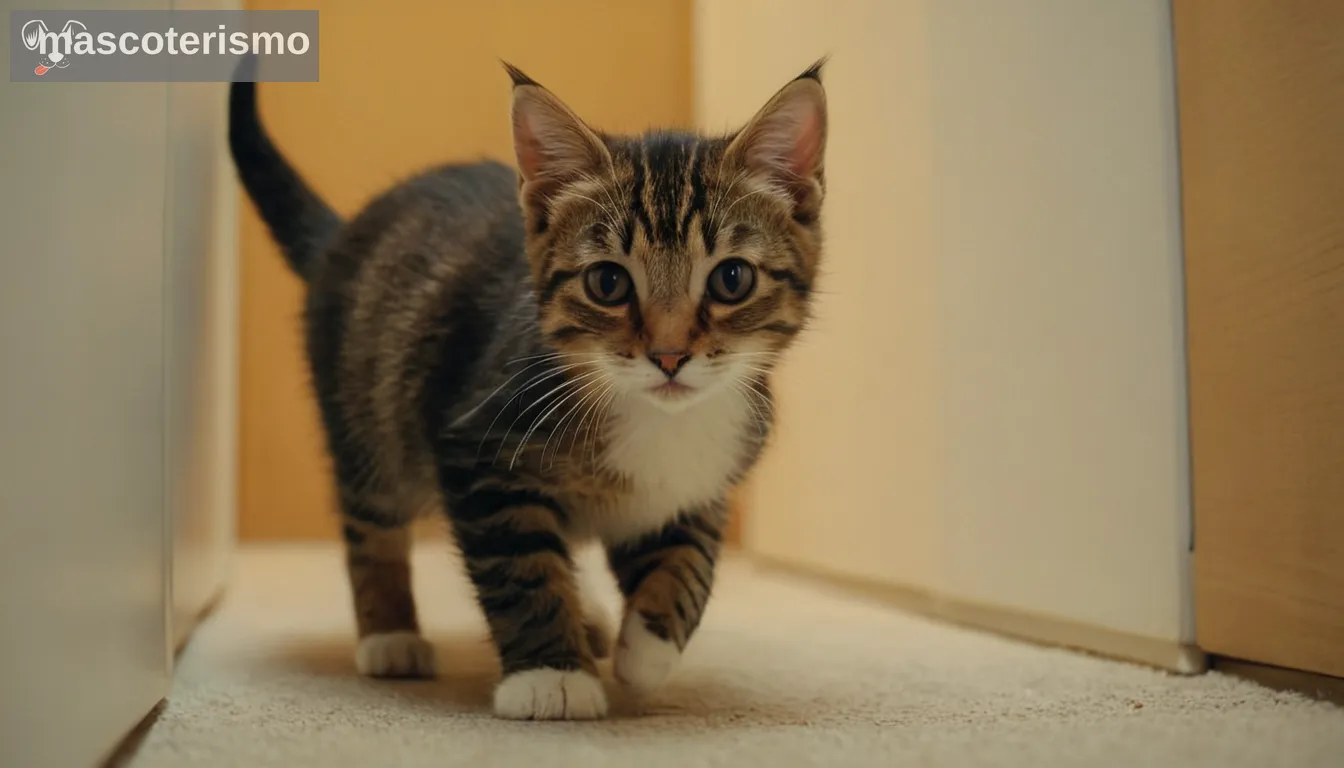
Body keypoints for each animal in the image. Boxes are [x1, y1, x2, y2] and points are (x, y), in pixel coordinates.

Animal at [225, 55, 822, 720]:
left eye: (731, 279)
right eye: (608, 283)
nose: (669, 356)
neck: (658, 417)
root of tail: (342, 235)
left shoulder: (698, 484)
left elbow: (692, 560)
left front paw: (647, 651)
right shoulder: (478, 448)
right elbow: (520, 568)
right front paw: (550, 676)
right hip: (365, 410)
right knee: (370, 518)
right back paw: (391, 636)